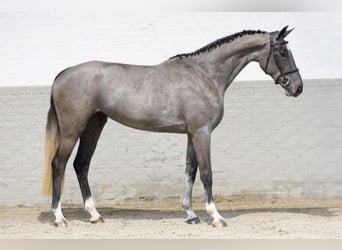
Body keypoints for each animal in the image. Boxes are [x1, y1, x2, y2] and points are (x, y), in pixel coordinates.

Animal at [42, 26, 302, 228]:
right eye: (281, 52)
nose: (297, 87)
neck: (204, 75)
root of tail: (62, 74)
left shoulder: (191, 134)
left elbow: (190, 172)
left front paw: (191, 215)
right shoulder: (202, 133)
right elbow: (206, 174)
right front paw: (216, 217)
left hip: (94, 126)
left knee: (81, 165)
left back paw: (95, 215)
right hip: (72, 130)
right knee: (59, 164)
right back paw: (59, 217)